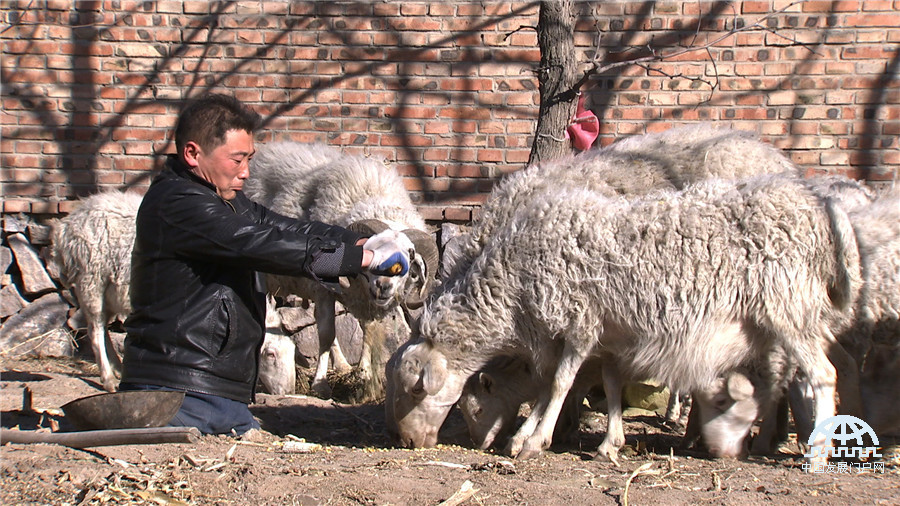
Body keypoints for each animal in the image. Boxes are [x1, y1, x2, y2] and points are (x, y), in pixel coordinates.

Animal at [45, 190, 143, 392]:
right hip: (91, 281)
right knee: (95, 331)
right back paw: (109, 379)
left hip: (107, 293)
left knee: (103, 328)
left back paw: (118, 370)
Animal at [246, 143, 440, 404]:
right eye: (373, 254)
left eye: (408, 260)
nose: (384, 288)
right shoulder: (323, 290)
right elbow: (326, 334)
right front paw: (320, 385)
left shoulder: (362, 299)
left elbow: (367, 331)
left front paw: (365, 373)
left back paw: (343, 365)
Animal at [388, 175, 864, 470]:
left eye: (418, 387)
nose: (409, 442)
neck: (513, 286)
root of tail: (820, 210)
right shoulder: (600, 336)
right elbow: (599, 384)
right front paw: (598, 443)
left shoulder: (578, 321)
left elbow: (558, 383)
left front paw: (533, 441)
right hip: (788, 318)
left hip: (789, 307)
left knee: (822, 375)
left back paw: (815, 454)